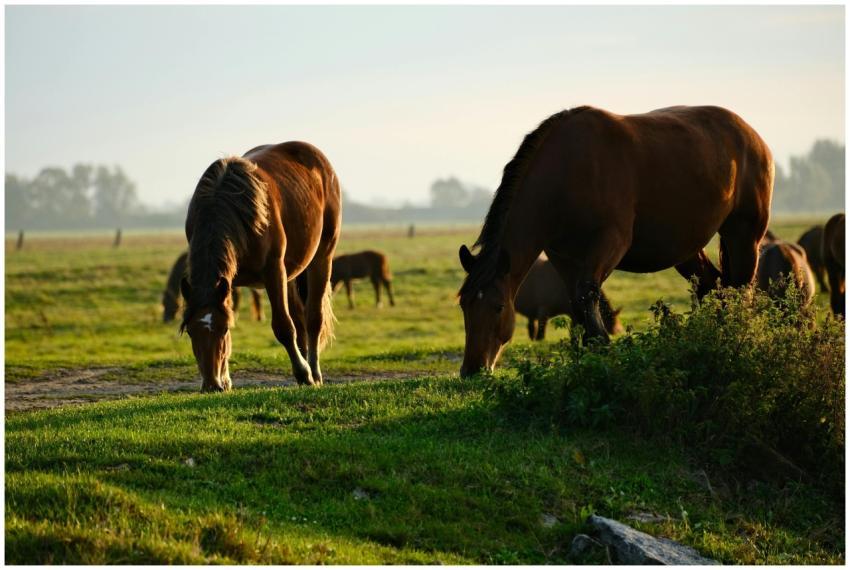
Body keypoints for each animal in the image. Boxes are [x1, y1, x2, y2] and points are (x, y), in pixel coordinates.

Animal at [180, 141, 341, 391]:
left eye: (222, 329)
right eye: (190, 331)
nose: (211, 385)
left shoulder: (273, 271)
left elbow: (284, 327)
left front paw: (303, 373)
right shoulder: (227, 281)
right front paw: (226, 379)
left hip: (322, 257)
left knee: (313, 318)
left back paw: (313, 373)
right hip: (291, 274)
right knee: (300, 319)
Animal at [458, 105, 773, 376]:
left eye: (498, 307)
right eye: (464, 306)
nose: (472, 370)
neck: (568, 170)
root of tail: (753, 137)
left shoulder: (611, 243)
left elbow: (587, 294)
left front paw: (604, 353)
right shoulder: (563, 256)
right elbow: (577, 303)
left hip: (744, 237)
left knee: (739, 290)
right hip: (686, 251)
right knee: (713, 287)